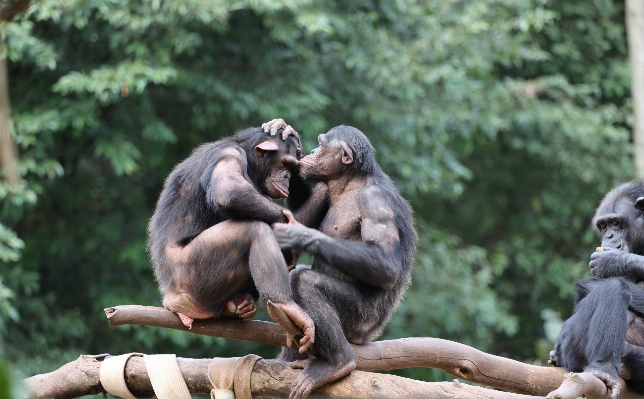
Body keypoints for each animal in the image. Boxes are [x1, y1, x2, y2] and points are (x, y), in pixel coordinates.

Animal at [148, 122, 330, 354]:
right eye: (285, 164)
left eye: (292, 168)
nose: (288, 178)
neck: (249, 159)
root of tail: (172, 300)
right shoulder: (229, 155)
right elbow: (230, 190)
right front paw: (292, 227)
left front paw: (286, 129)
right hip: (193, 275)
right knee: (255, 229)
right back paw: (285, 305)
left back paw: (241, 304)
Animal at [266, 119, 418, 399]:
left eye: (322, 144)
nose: (312, 151)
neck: (349, 184)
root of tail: (369, 336)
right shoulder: (324, 188)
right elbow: (298, 214)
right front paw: (286, 131)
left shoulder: (376, 202)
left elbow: (385, 264)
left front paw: (297, 234)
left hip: (359, 322)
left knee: (305, 281)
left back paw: (338, 363)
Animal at [548, 182, 644, 399]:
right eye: (603, 226)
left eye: (616, 223)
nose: (609, 235)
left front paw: (614, 261)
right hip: (573, 352)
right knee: (615, 289)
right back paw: (604, 370)